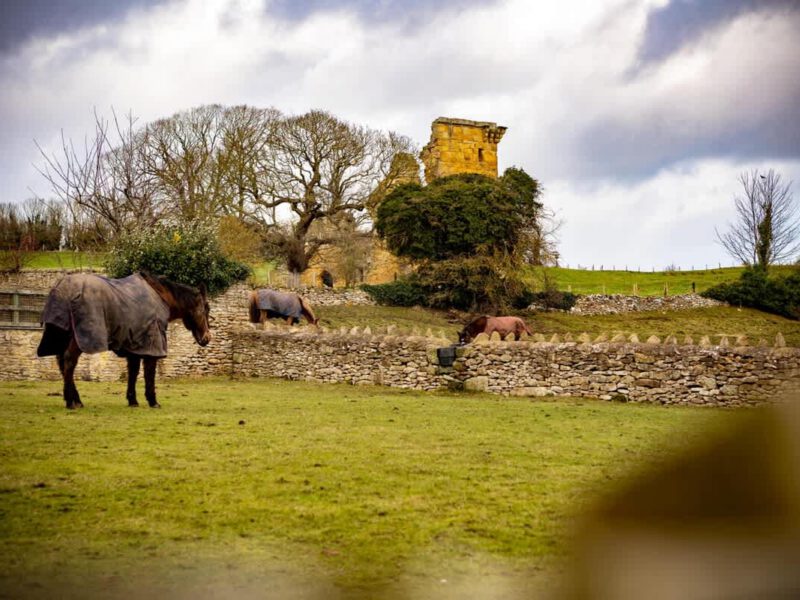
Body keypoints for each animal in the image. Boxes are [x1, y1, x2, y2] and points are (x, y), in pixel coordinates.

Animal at [37, 271, 210, 409]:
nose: (207, 338)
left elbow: (133, 372)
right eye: (206, 309)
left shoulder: (135, 345)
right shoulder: (152, 344)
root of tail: (62, 288)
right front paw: (152, 401)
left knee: (62, 362)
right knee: (69, 362)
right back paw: (70, 402)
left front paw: (132, 400)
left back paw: (76, 400)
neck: (160, 297)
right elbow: (149, 373)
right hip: (78, 339)